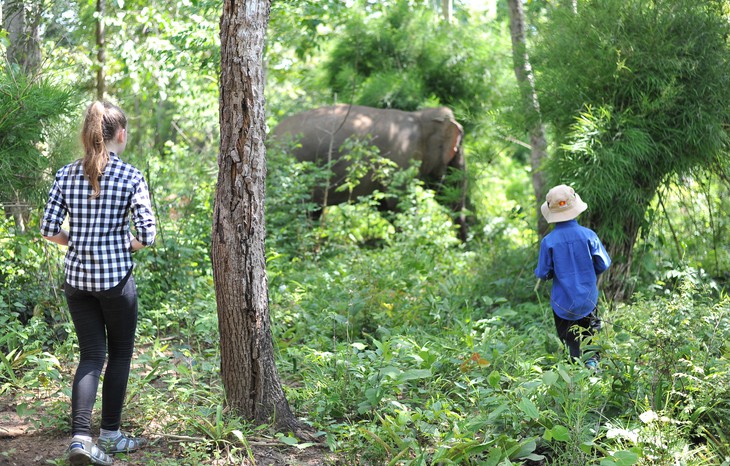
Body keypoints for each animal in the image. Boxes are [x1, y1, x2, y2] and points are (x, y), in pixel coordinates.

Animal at [272, 103, 466, 238]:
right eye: (456, 152)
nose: (461, 247)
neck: (420, 116)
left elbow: (385, 206)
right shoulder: (401, 156)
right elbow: (398, 203)